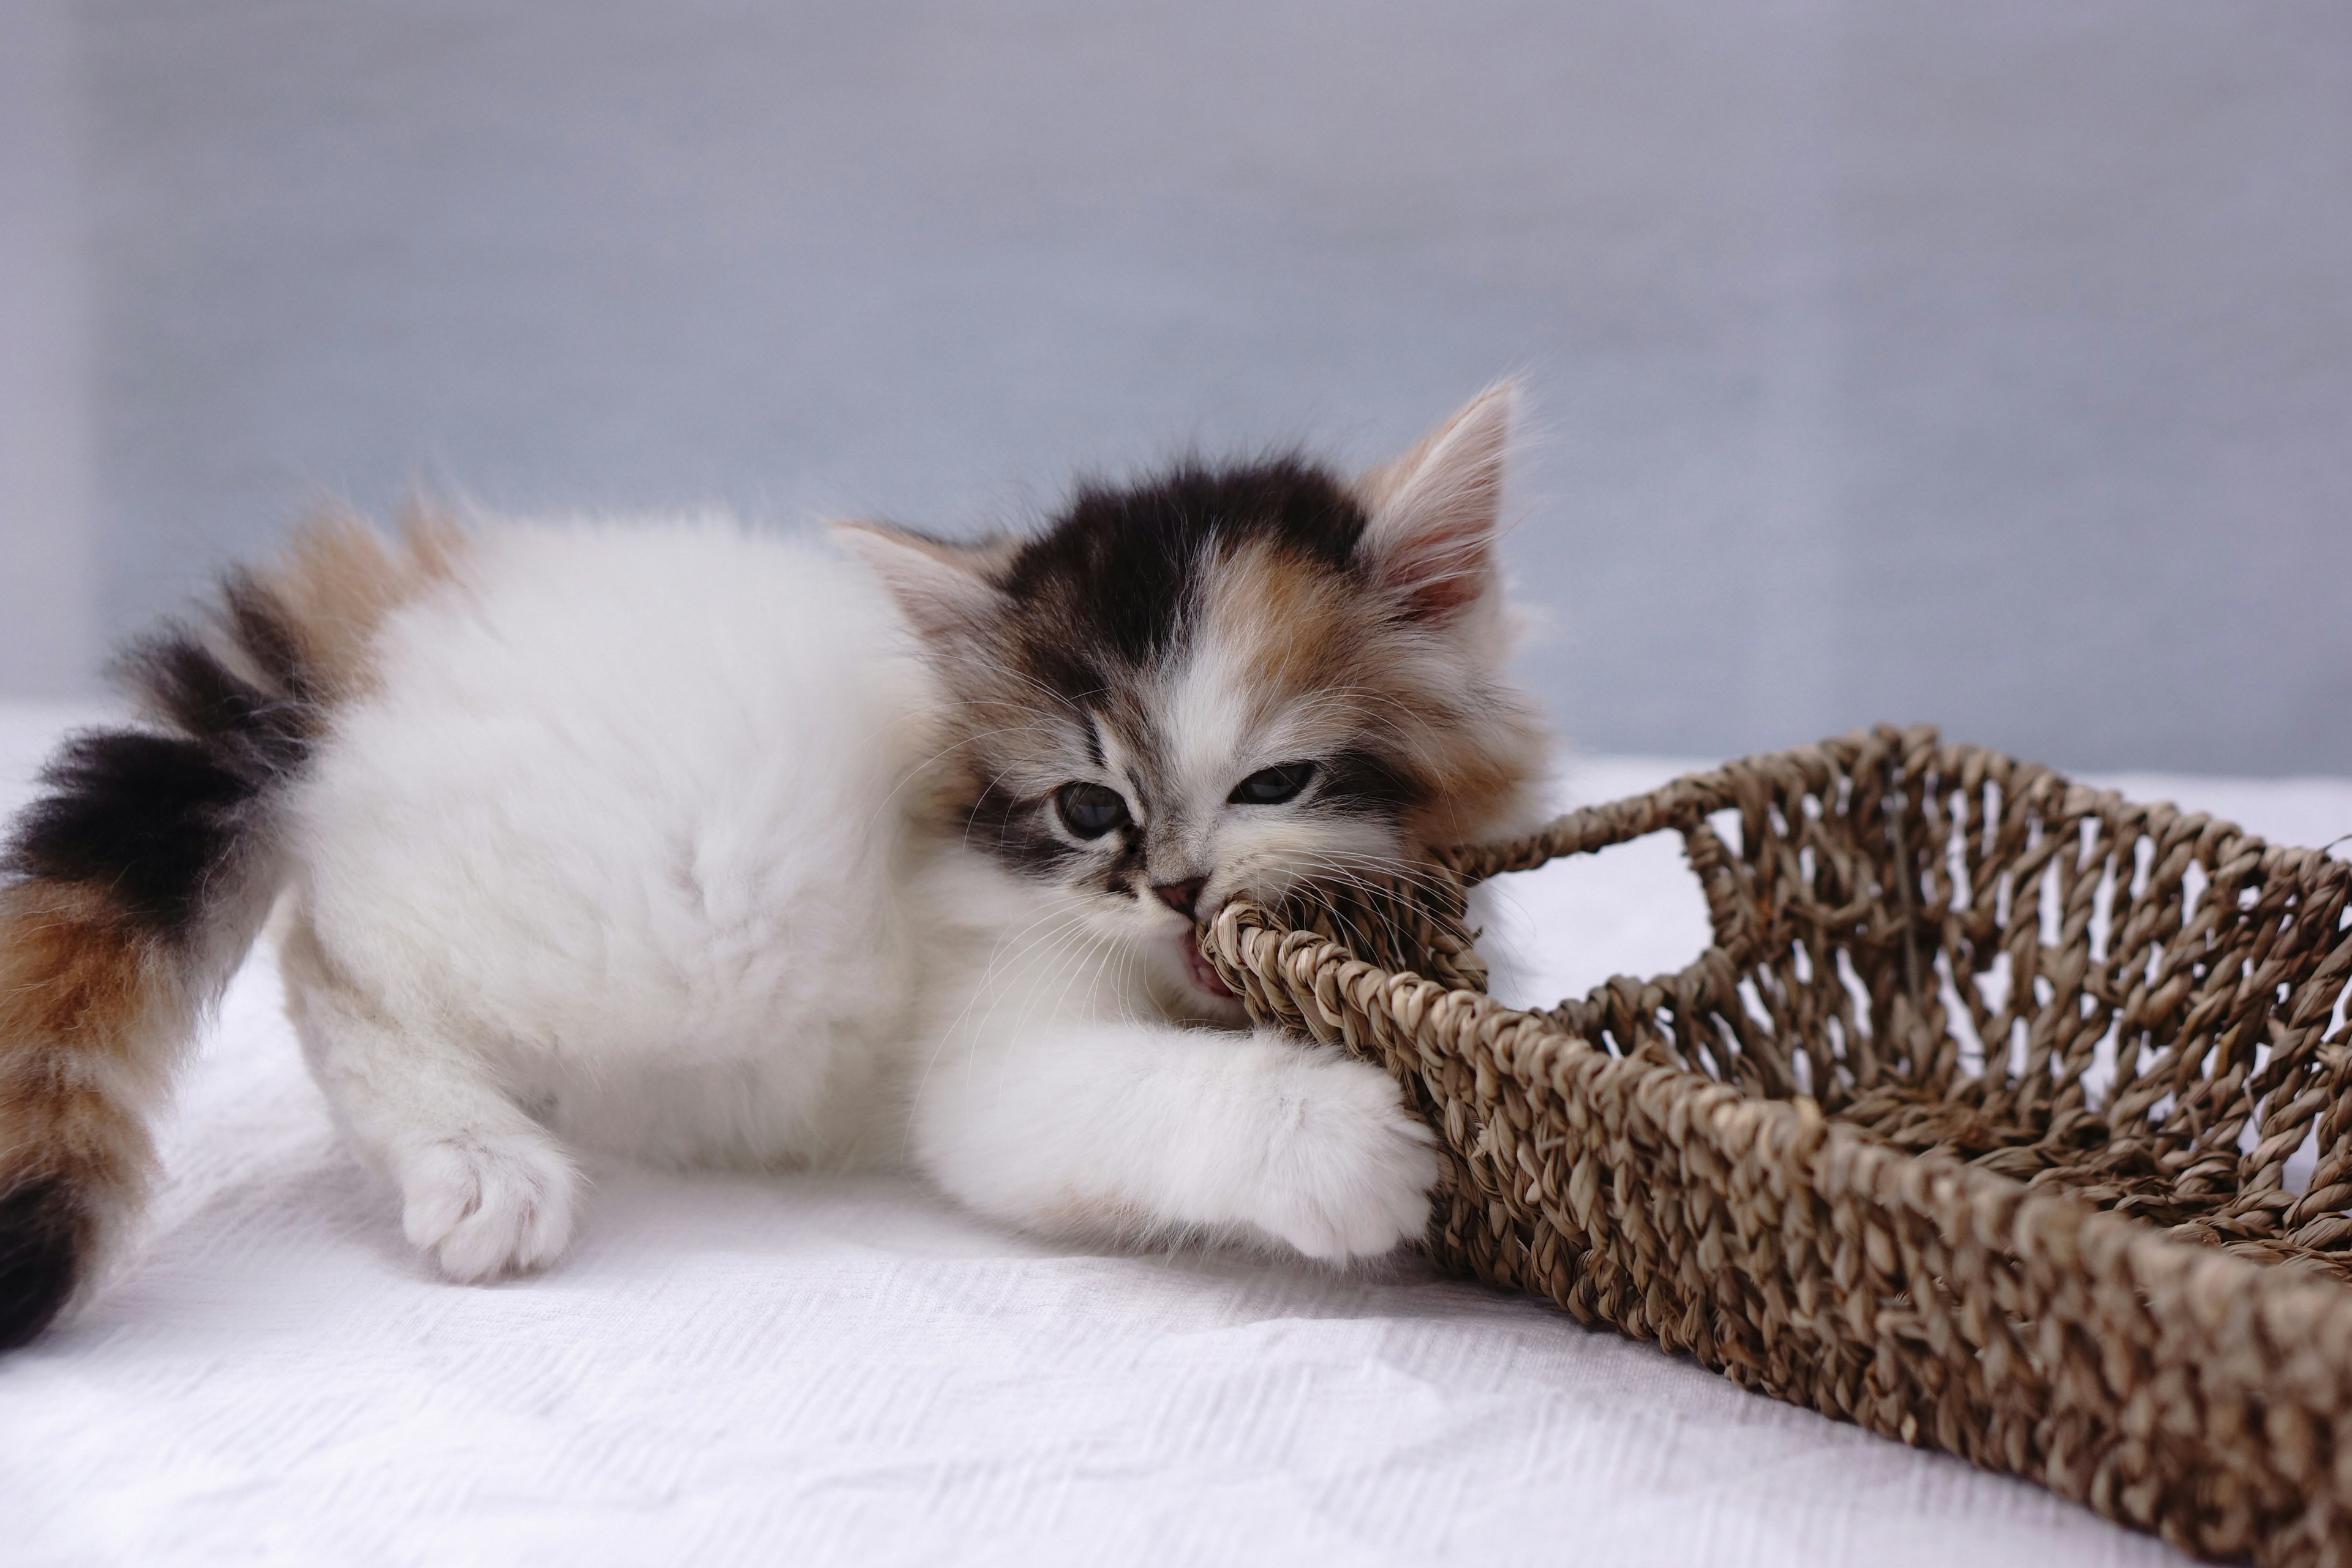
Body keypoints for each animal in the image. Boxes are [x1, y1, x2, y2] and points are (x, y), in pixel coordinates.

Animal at [0, 383, 1552, 1354]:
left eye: (1272, 785)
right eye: (1086, 806)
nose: (1171, 888)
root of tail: (416, 601)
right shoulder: (982, 1054)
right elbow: (1093, 1105)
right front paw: (1341, 1141)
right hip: (632, 907)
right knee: (331, 962)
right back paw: (478, 1162)